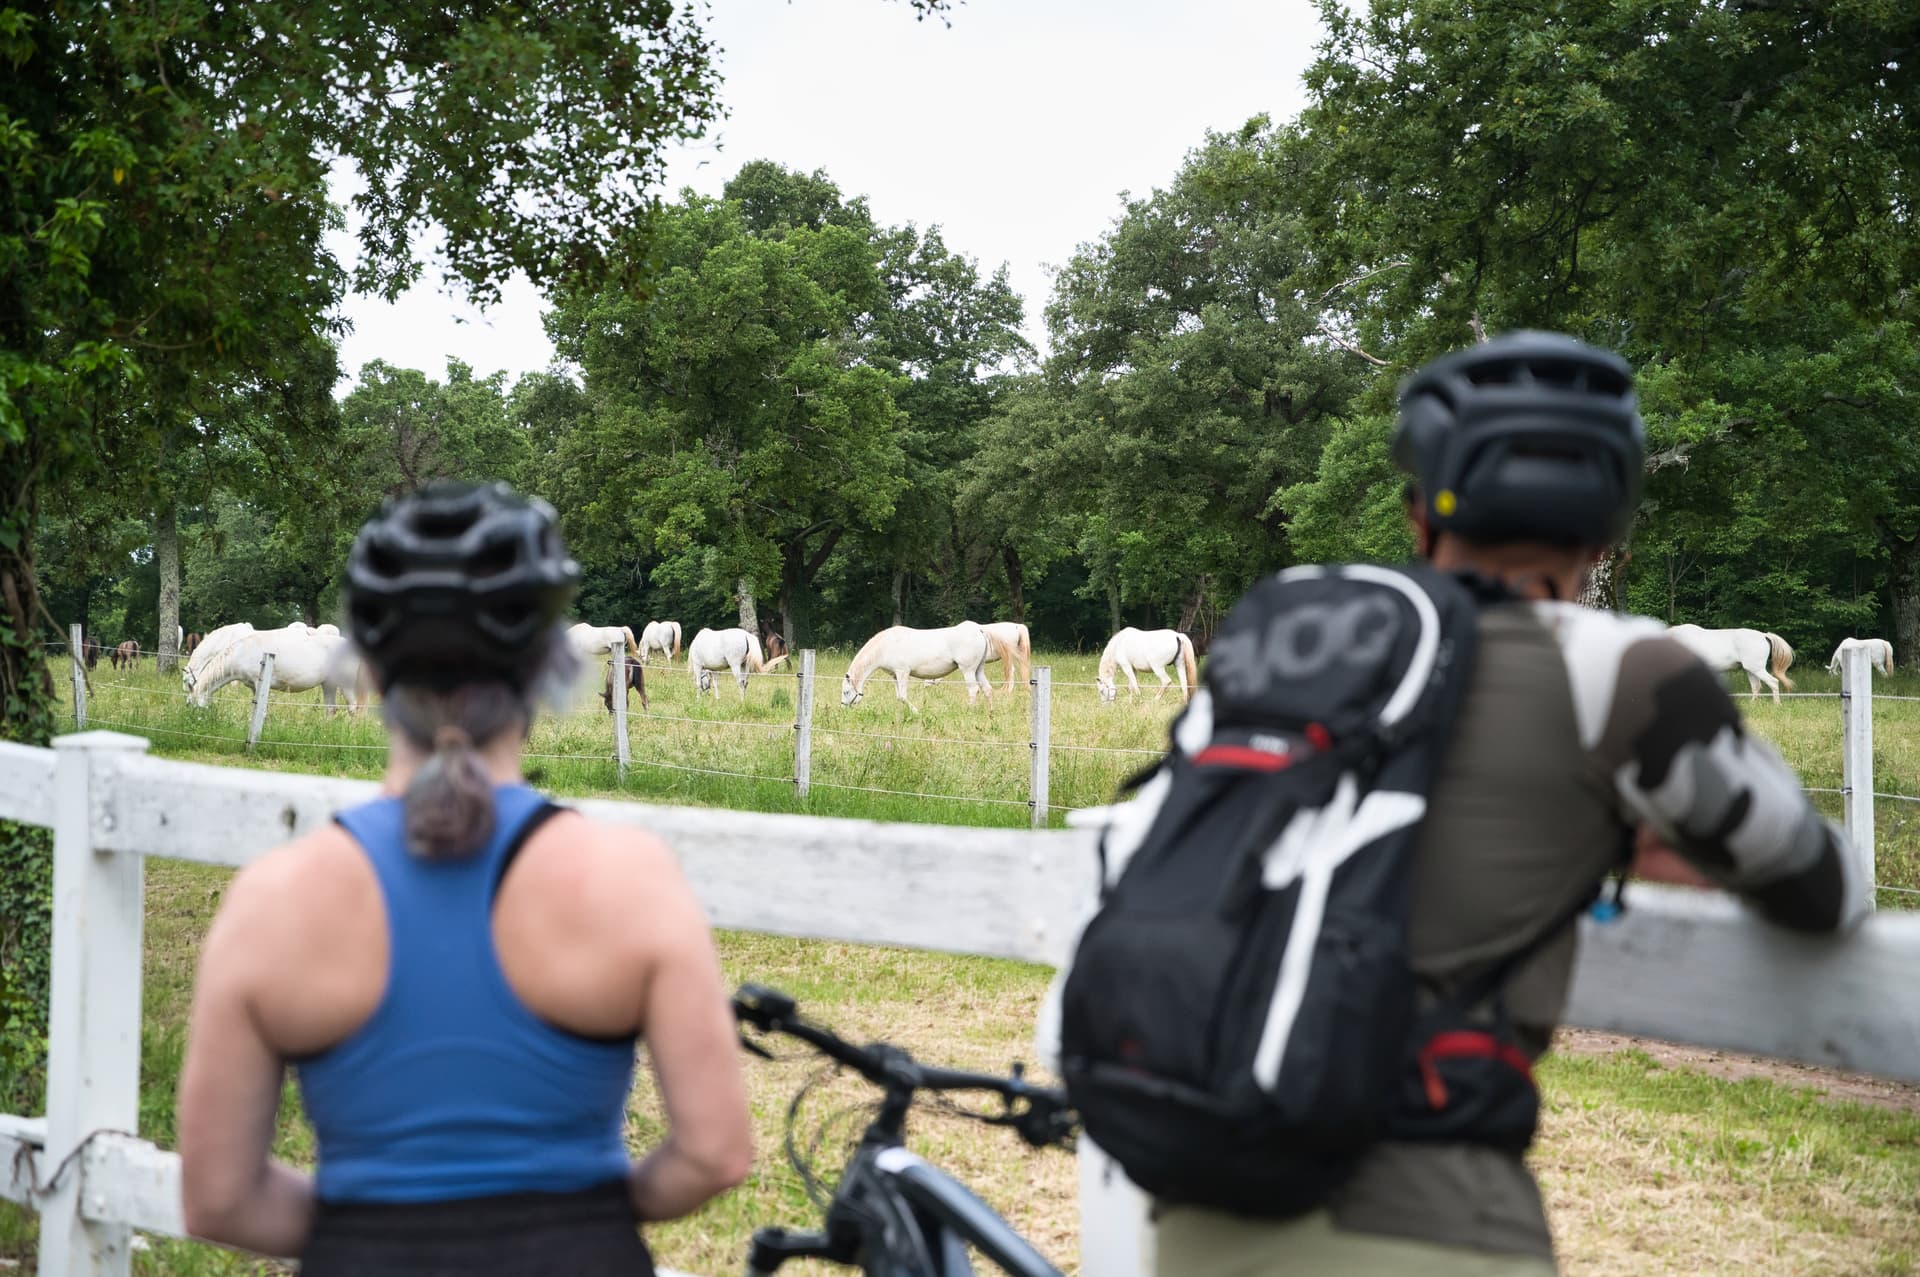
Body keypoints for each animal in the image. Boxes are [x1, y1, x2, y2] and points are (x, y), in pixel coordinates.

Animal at [187, 624, 363, 715]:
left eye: (192, 705)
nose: (193, 719)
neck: (242, 650)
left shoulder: (259, 683)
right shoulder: (253, 686)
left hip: (346, 684)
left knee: (353, 707)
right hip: (328, 684)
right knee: (331, 709)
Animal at [841, 622, 1015, 712]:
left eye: (846, 692)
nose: (843, 707)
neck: (885, 646)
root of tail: (979, 629)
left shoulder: (903, 672)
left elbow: (903, 696)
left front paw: (916, 712)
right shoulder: (895, 675)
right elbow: (899, 697)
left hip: (968, 670)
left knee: (973, 690)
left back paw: (969, 710)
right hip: (979, 669)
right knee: (987, 690)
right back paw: (991, 713)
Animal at [1667, 623, 1795, 703]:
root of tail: (1764, 635)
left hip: (1757, 669)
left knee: (1773, 682)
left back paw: (1777, 704)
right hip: (1751, 670)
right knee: (1756, 686)